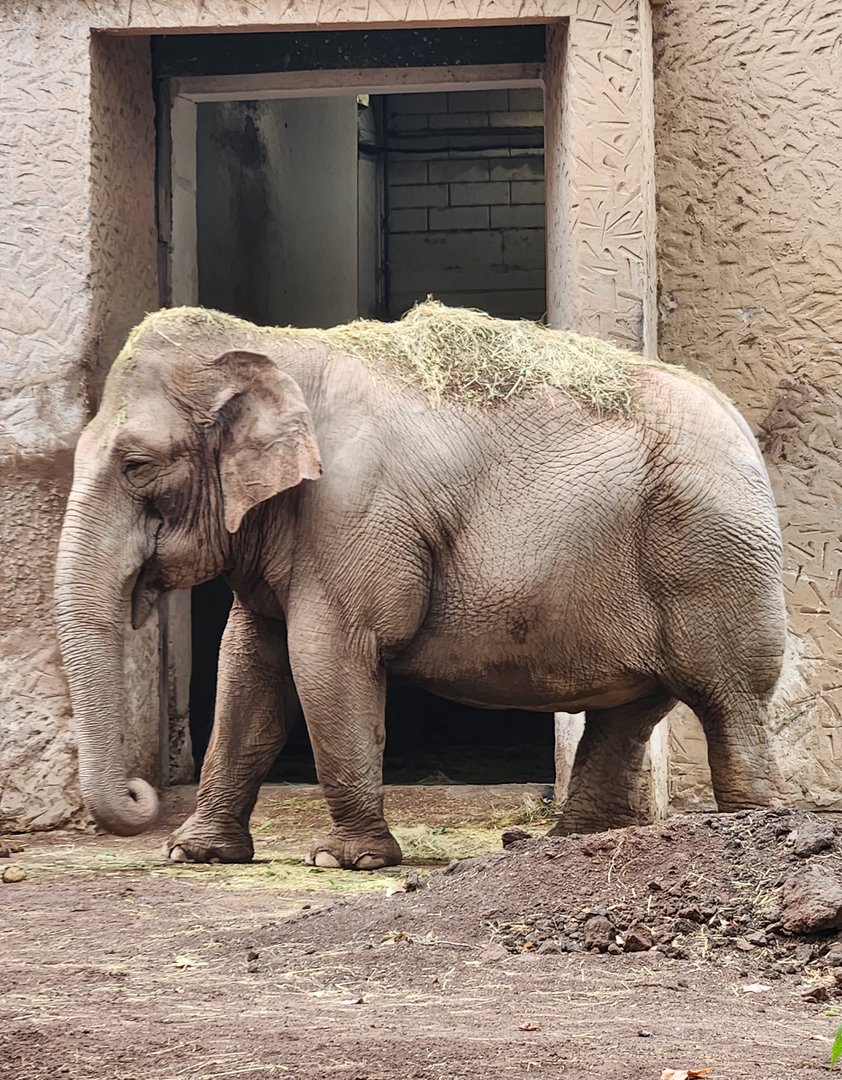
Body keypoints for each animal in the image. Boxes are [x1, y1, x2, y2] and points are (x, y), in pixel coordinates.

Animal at [54, 301, 787, 869]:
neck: (277, 347)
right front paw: (195, 852)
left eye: (136, 465)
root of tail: (740, 422)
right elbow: (248, 664)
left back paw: (749, 828)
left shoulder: (353, 511)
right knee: (631, 711)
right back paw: (562, 844)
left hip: (716, 561)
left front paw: (345, 860)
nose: (141, 792)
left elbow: (324, 656)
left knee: (729, 700)